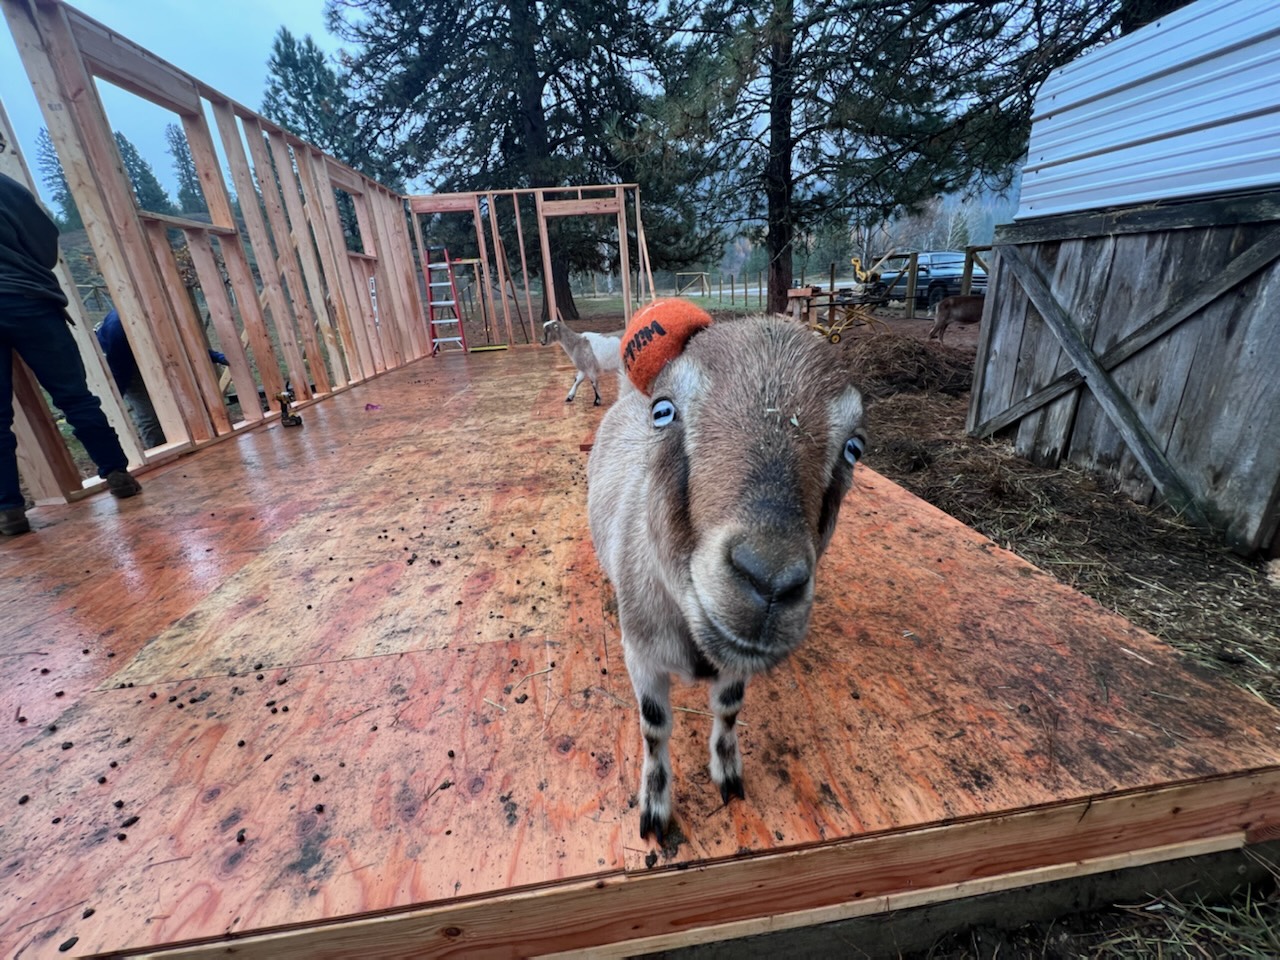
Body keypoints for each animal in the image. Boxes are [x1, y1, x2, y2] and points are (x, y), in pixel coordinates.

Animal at [587, 313, 867, 842]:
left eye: (855, 447)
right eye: (665, 411)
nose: (770, 581)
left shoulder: (737, 664)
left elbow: (729, 709)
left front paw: (729, 777)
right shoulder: (641, 654)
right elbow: (654, 727)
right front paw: (655, 810)